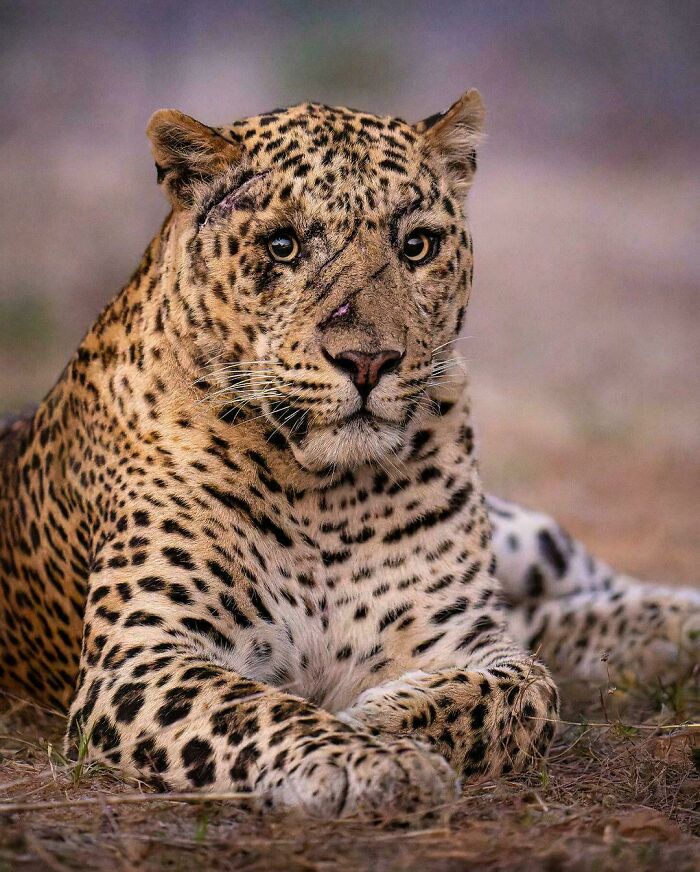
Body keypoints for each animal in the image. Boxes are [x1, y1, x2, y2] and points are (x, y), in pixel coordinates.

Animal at [1, 90, 698, 818]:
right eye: (283, 246)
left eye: (417, 245)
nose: (368, 360)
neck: (326, 498)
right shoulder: (141, 659)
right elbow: (262, 708)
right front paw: (375, 758)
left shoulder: (463, 636)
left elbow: (527, 689)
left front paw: (382, 717)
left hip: (521, 535)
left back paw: (678, 626)